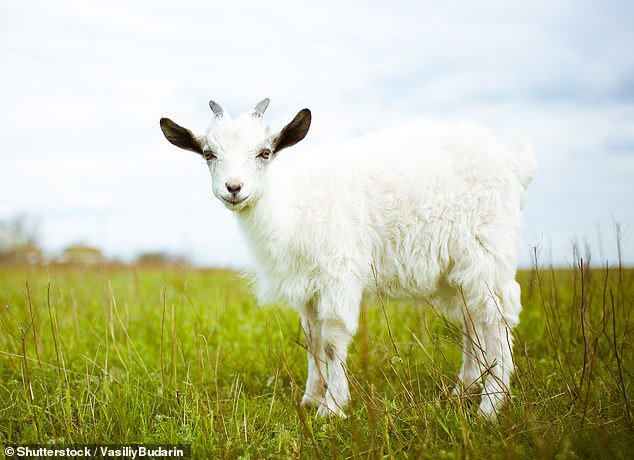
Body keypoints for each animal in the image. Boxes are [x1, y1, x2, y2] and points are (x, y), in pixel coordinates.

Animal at [158, 99, 532, 418]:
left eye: (264, 153)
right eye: (209, 153)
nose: (234, 188)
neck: (291, 210)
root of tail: (513, 164)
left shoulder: (337, 274)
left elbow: (331, 341)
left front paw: (332, 407)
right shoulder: (307, 287)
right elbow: (311, 339)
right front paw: (310, 398)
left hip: (487, 249)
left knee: (497, 317)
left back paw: (490, 406)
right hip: (460, 268)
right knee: (474, 320)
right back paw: (462, 391)